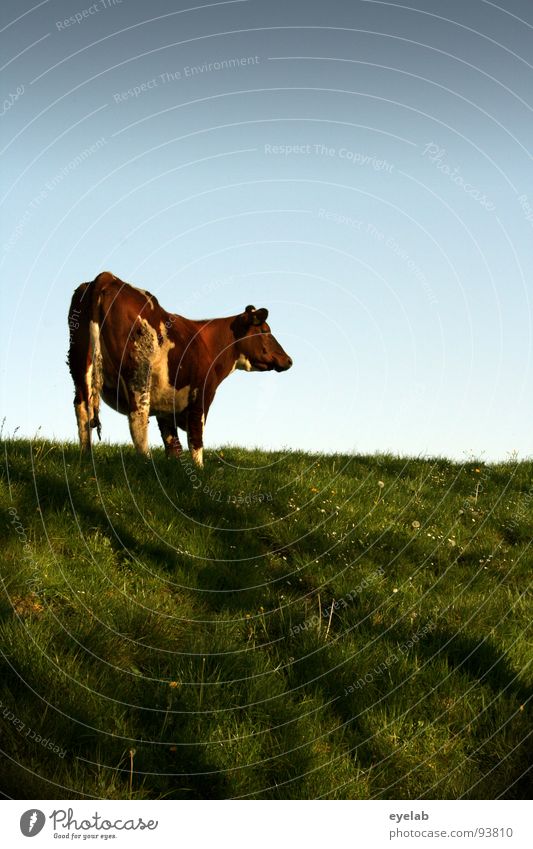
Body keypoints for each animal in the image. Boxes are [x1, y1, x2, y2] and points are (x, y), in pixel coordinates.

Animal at [68, 272, 294, 468]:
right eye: (265, 331)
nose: (288, 360)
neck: (209, 343)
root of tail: (107, 277)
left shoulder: (166, 406)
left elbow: (172, 443)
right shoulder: (201, 396)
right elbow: (196, 437)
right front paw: (199, 469)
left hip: (80, 363)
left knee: (82, 408)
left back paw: (86, 456)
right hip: (138, 373)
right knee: (137, 416)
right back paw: (145, 463)